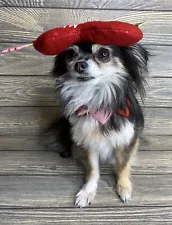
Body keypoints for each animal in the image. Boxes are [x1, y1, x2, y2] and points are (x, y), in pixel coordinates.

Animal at [51, 40, 149, 207]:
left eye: (103, 54)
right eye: (70, 54)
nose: (79, 64)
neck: (97, 102)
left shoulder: (128, 139)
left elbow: (123, 165)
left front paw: (123, 187)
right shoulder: (89, 141)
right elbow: (93, 169)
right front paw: (87, 191)